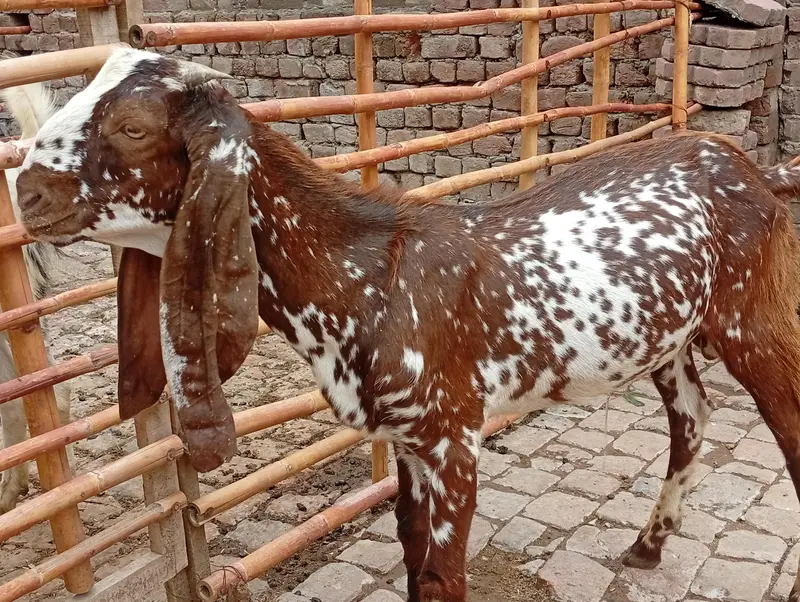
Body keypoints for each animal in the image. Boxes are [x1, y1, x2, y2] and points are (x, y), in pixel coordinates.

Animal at [12, 47, 800, 602]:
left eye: (133, 127)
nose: (26, 192)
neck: (368, 274)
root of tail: (755, 173)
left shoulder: (452, 437)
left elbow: (442, 575)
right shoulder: (407, 441)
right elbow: (411, 558)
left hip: (755, 319)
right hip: (672, 341)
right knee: (692, 419)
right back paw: (648, 545)